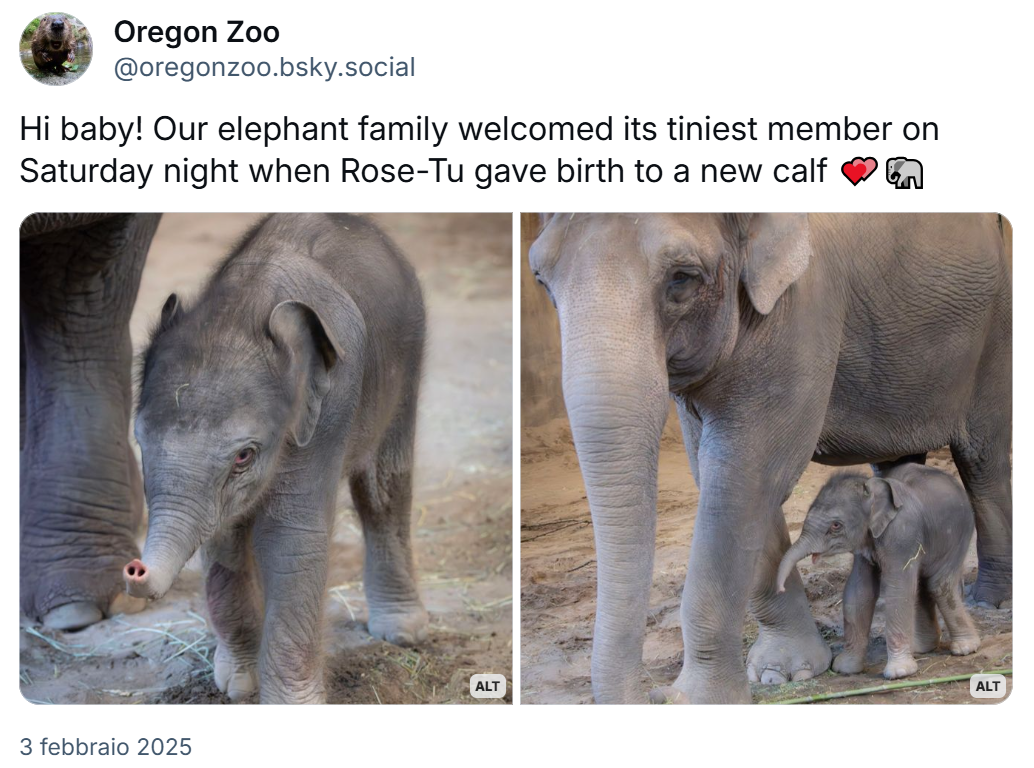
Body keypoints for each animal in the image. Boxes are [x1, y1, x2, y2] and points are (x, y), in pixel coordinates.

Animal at [122, 212, 428, 707]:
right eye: (140, 439)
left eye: (244, 455)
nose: (134, 568)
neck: (243, 306)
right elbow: (224, 538)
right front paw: (238, 686)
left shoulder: (326, 412)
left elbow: (290, 540)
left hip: (408, 357)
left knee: (382, 486)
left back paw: (402, 633)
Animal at [777, 465, 980, 682]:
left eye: (836, 525)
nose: (780, 588)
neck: (872, 488)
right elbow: (859, 591)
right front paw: (845, 668)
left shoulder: (902, 534)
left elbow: (898, 589)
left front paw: (899, 673)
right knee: (922, 585)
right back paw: (923, 648)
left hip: (959, 535)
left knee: (939, 585)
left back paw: (965, 648)